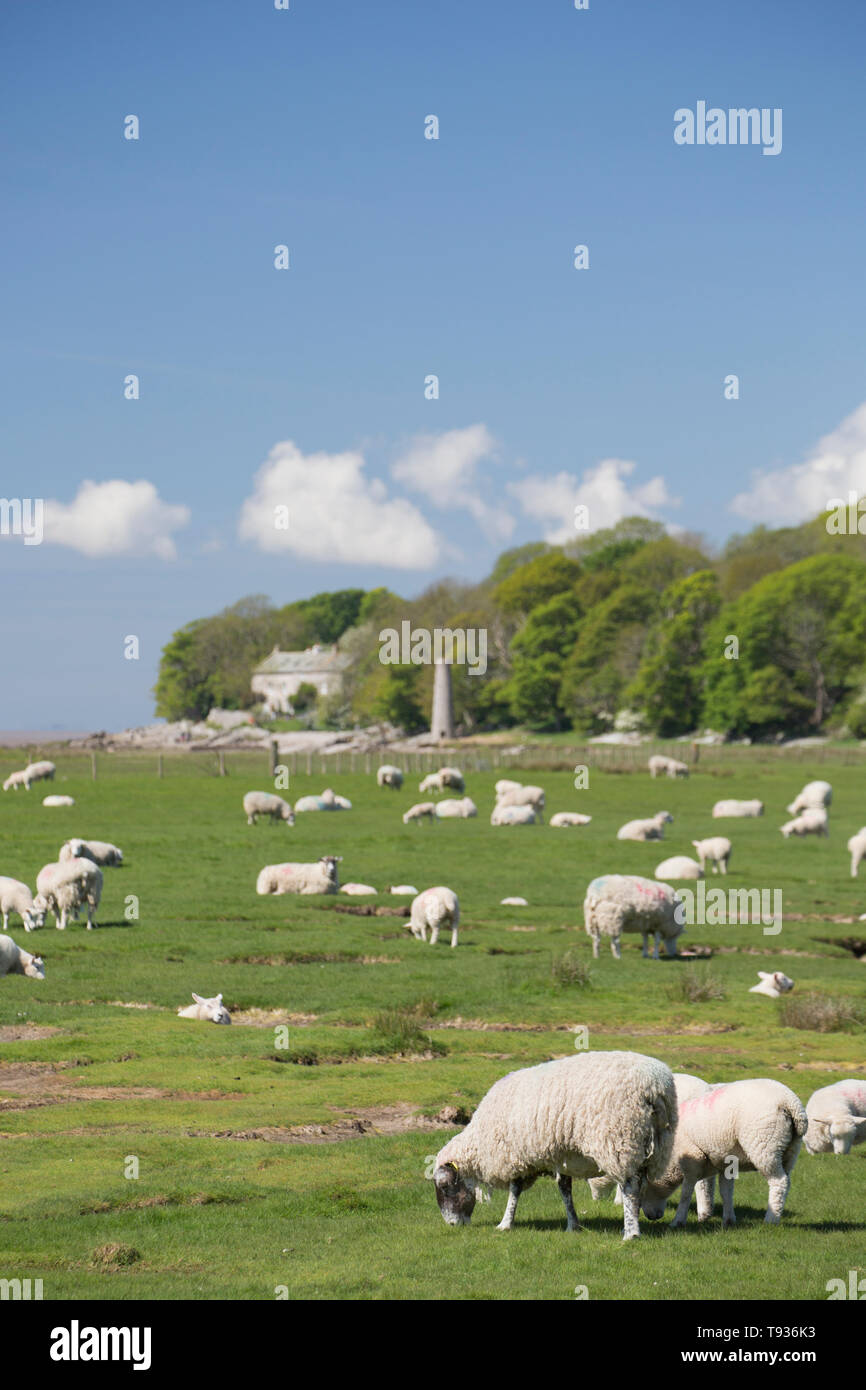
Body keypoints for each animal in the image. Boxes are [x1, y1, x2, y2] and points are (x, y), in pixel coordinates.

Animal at [433, 1050, 678, 1251]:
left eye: (444, 1186)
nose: (453, 1224)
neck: (480, 1142)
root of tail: (655, 1086)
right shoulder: (560, 1155)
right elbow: (564, 1189)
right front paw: (573, 1224)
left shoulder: (517, 1156)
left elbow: (515, 1190)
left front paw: (505, 1223)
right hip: (654, 1147)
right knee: (641, 1184)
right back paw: (630, 1224)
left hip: (620, 1139)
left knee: (630, 1187)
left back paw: (631, 1233)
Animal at [639, 1073, 811, 1228]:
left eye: (643, 1188)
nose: (652, 1217)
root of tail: (790, 1103)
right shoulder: (725, 1163)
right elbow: (726, 1191)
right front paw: (728, 1221)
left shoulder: (692, 1157)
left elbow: (686, 1192)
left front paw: (678, 1221)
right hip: (790, 1151)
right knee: (787, 1181)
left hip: (765, 1145)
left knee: (778, 1182)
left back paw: (771, 1220)